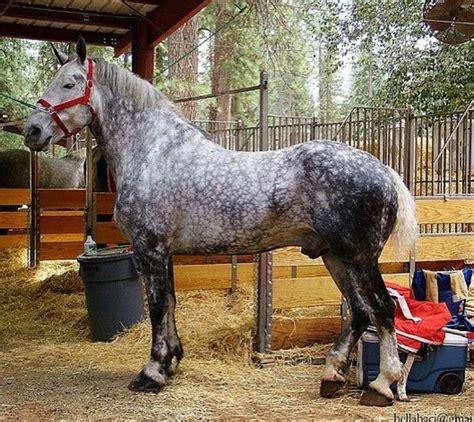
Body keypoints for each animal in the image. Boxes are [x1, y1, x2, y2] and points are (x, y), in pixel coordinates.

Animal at [23, 39, 414, 406]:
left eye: (69, 84)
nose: (32, 131)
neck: (153, 152)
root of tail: (383, 169)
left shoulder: (150, 249)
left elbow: (157, 307)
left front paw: (153, 372)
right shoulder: (164, 253)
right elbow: (171, 303)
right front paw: (172, 362)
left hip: (360, 259)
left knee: (382, 309)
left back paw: (383, 385)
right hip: (335, 256)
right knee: (360, 312)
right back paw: (332, 375)